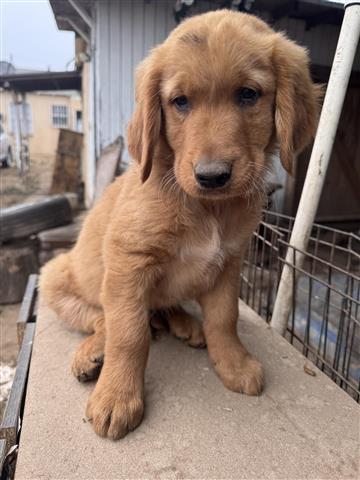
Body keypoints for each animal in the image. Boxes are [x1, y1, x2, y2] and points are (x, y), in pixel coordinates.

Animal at [40, 10, 320, 438]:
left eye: (248, 95)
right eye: (180, 102)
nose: (212, 176)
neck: (206, 208)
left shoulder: (229, 262)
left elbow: (224, 317)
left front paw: (233, 362)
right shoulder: (128, 262)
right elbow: (128, 333)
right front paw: (118, 396)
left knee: (163, 308)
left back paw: (184, 323)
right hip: (54, 274)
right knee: (100, 318)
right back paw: (93, 352)